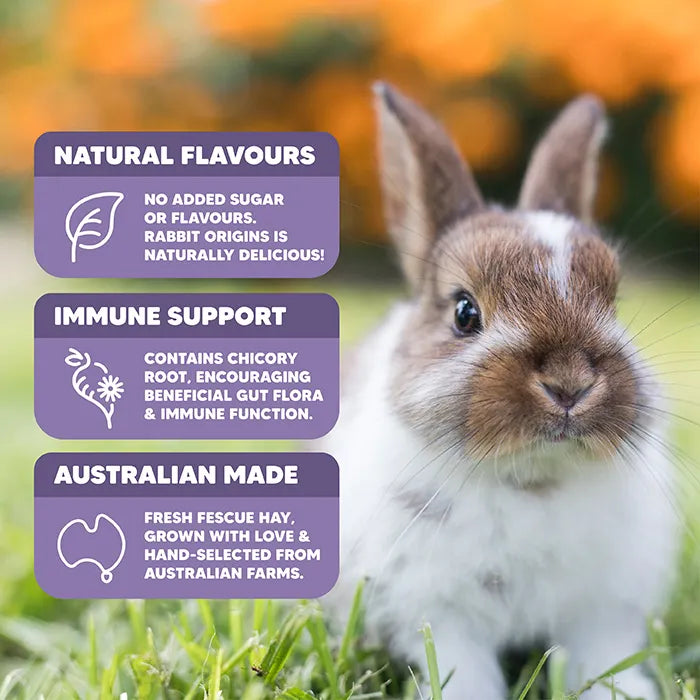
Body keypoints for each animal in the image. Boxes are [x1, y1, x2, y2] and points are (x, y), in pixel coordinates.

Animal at [323, 83, 679, 700]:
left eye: (613, 302)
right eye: (465, 313)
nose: (569, 384)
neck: (529, 478)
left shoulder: (601, 607)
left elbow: (603, 656)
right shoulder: (438, 609)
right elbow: (462, 667)